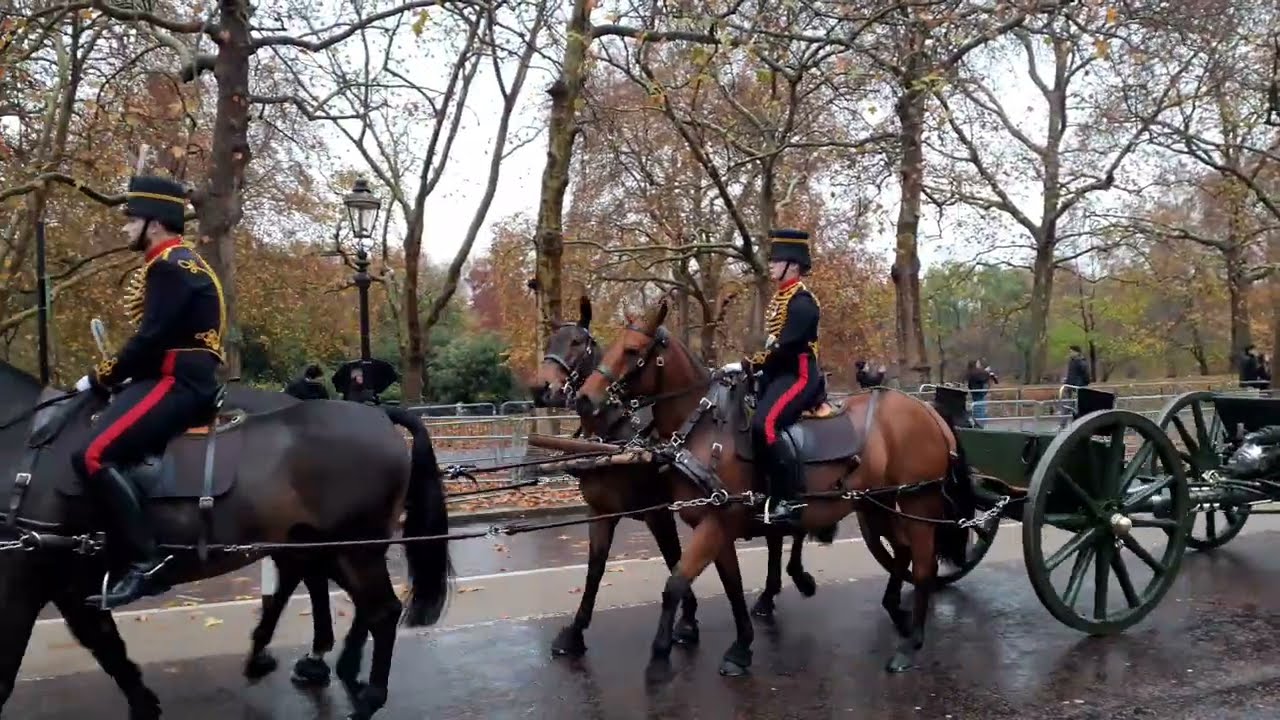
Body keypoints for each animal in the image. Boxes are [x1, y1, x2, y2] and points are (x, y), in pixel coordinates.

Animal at [0, 359, 453, 720]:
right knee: (354, 602)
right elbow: (107, 647)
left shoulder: (31, 580)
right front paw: (145, 704)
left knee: (381, 611)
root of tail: (379, 416)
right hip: (328, 546)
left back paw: (364, 695)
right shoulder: (67, 584)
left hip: (352, 547)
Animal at [528, 297, 825, 659]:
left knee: (789, 530)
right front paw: (575, 632)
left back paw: (793, 579)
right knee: (776, 536)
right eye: (551, 342)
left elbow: (673, 560)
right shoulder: (601, 513)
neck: (615, 434)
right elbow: (595, 571)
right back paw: (770, 595)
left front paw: (686, 622)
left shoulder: (659, 513)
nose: (541, 388)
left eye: (576, 342)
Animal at [573, 299, 975, 677]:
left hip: (918, 503)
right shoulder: (717, 525)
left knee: (923, 565)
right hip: (878, 504)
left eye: (632, 351)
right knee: (903, 552)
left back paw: (910, 645)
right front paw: (741, 647)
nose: (584, 398)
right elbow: (731, 586)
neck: (705, 427)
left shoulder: (716, 524)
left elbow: (675, 584)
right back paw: (897, 613)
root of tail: (927, 410)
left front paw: (659, 657)